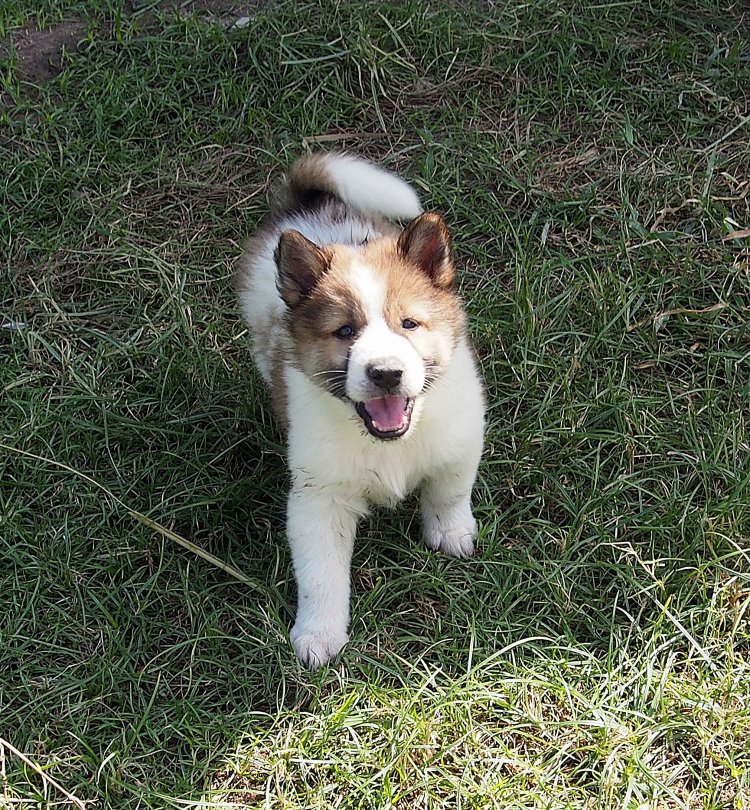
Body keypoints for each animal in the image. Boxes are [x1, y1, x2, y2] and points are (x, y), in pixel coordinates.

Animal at [234, 152, 485, 667]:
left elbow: (449, 491)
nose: (386, 372)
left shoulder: (460, 437)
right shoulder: (318, 497)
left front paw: (452, 534)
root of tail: (308, 206)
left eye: (409, 323)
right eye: (345, 331)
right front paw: (318, 634)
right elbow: (321, 575)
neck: (390, 444)